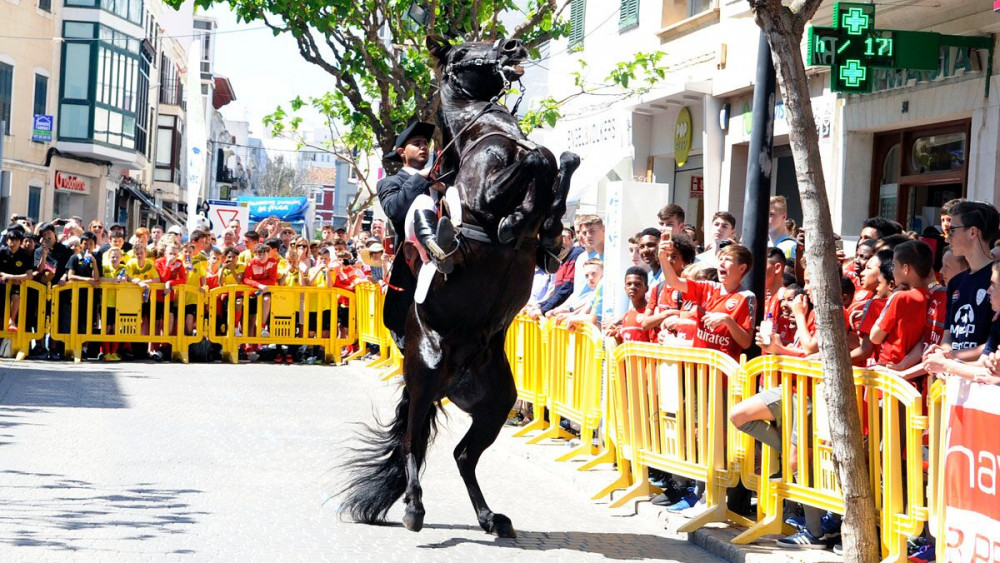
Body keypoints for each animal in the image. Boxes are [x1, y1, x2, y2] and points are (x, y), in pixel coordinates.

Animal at [338, 35, 580, 536]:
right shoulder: (482, 194)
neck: (491, 131)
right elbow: (538, 158)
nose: (512, 47)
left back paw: (490, 517)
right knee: (412, 444)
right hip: (426, 374)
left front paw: (547, 229)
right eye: (465, 51)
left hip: (495, 403)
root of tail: (456, 369)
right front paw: (514, 220)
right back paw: (414, 508)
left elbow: (561, 160)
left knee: (463, 455)